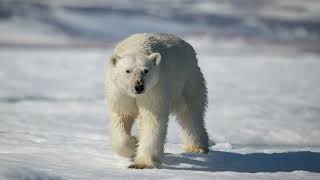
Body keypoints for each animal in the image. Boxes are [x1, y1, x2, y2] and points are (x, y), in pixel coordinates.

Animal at [106, 32, 209, 169]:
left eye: (146, 70)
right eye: (127, 70)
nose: (139, 86)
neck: (136, 47)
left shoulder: (154, 89)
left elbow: (152, 119)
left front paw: (142, 162)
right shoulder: (120, 93)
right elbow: (122, 116)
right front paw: (133, 145)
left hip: (187, 81)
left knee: (190, 113)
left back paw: (197, 148)